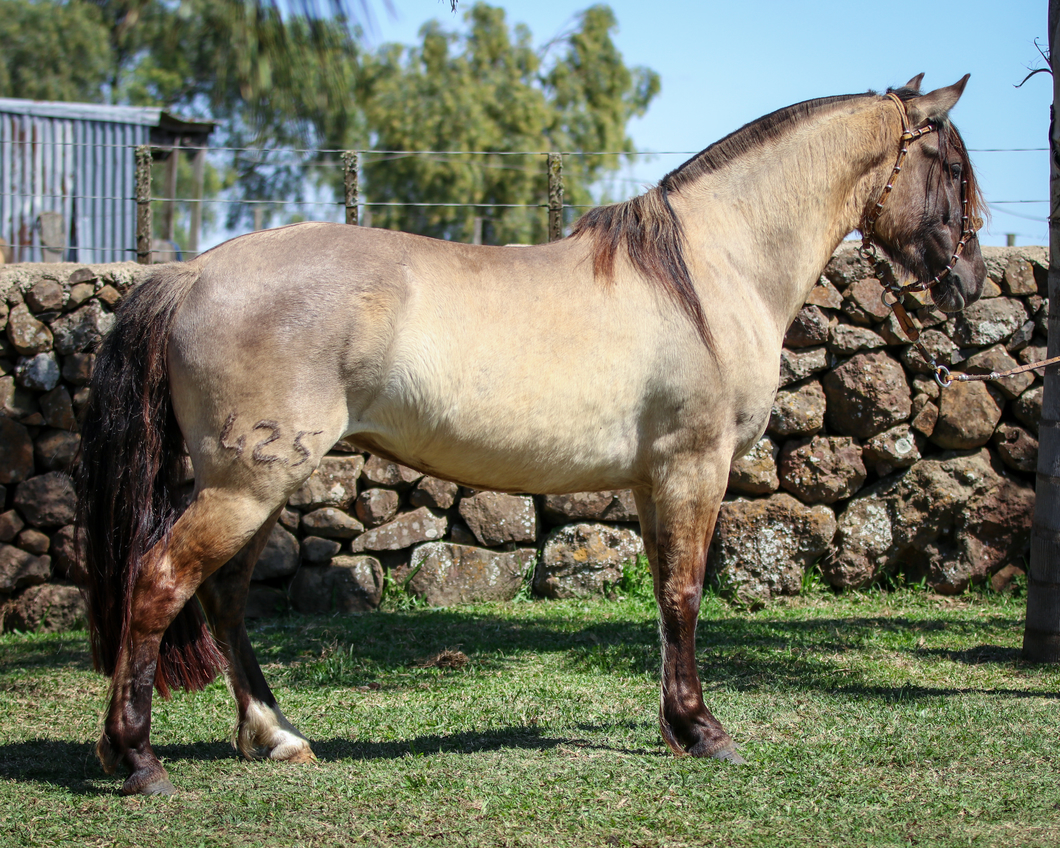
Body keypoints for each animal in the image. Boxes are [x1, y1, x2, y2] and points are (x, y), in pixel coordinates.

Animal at [72, 73, 983, 797]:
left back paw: (275, 736)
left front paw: (677, 726)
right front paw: (706, 732)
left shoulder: (654, 480)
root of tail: (193, 272)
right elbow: (688, 594)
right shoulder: (695, 468)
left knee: (222, 598)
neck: (709, 270)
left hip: (259, 488)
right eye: (950, 168)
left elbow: (665, 600)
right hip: (245, 484)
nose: (967, 286)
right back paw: (138, 761)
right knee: (159, 583)